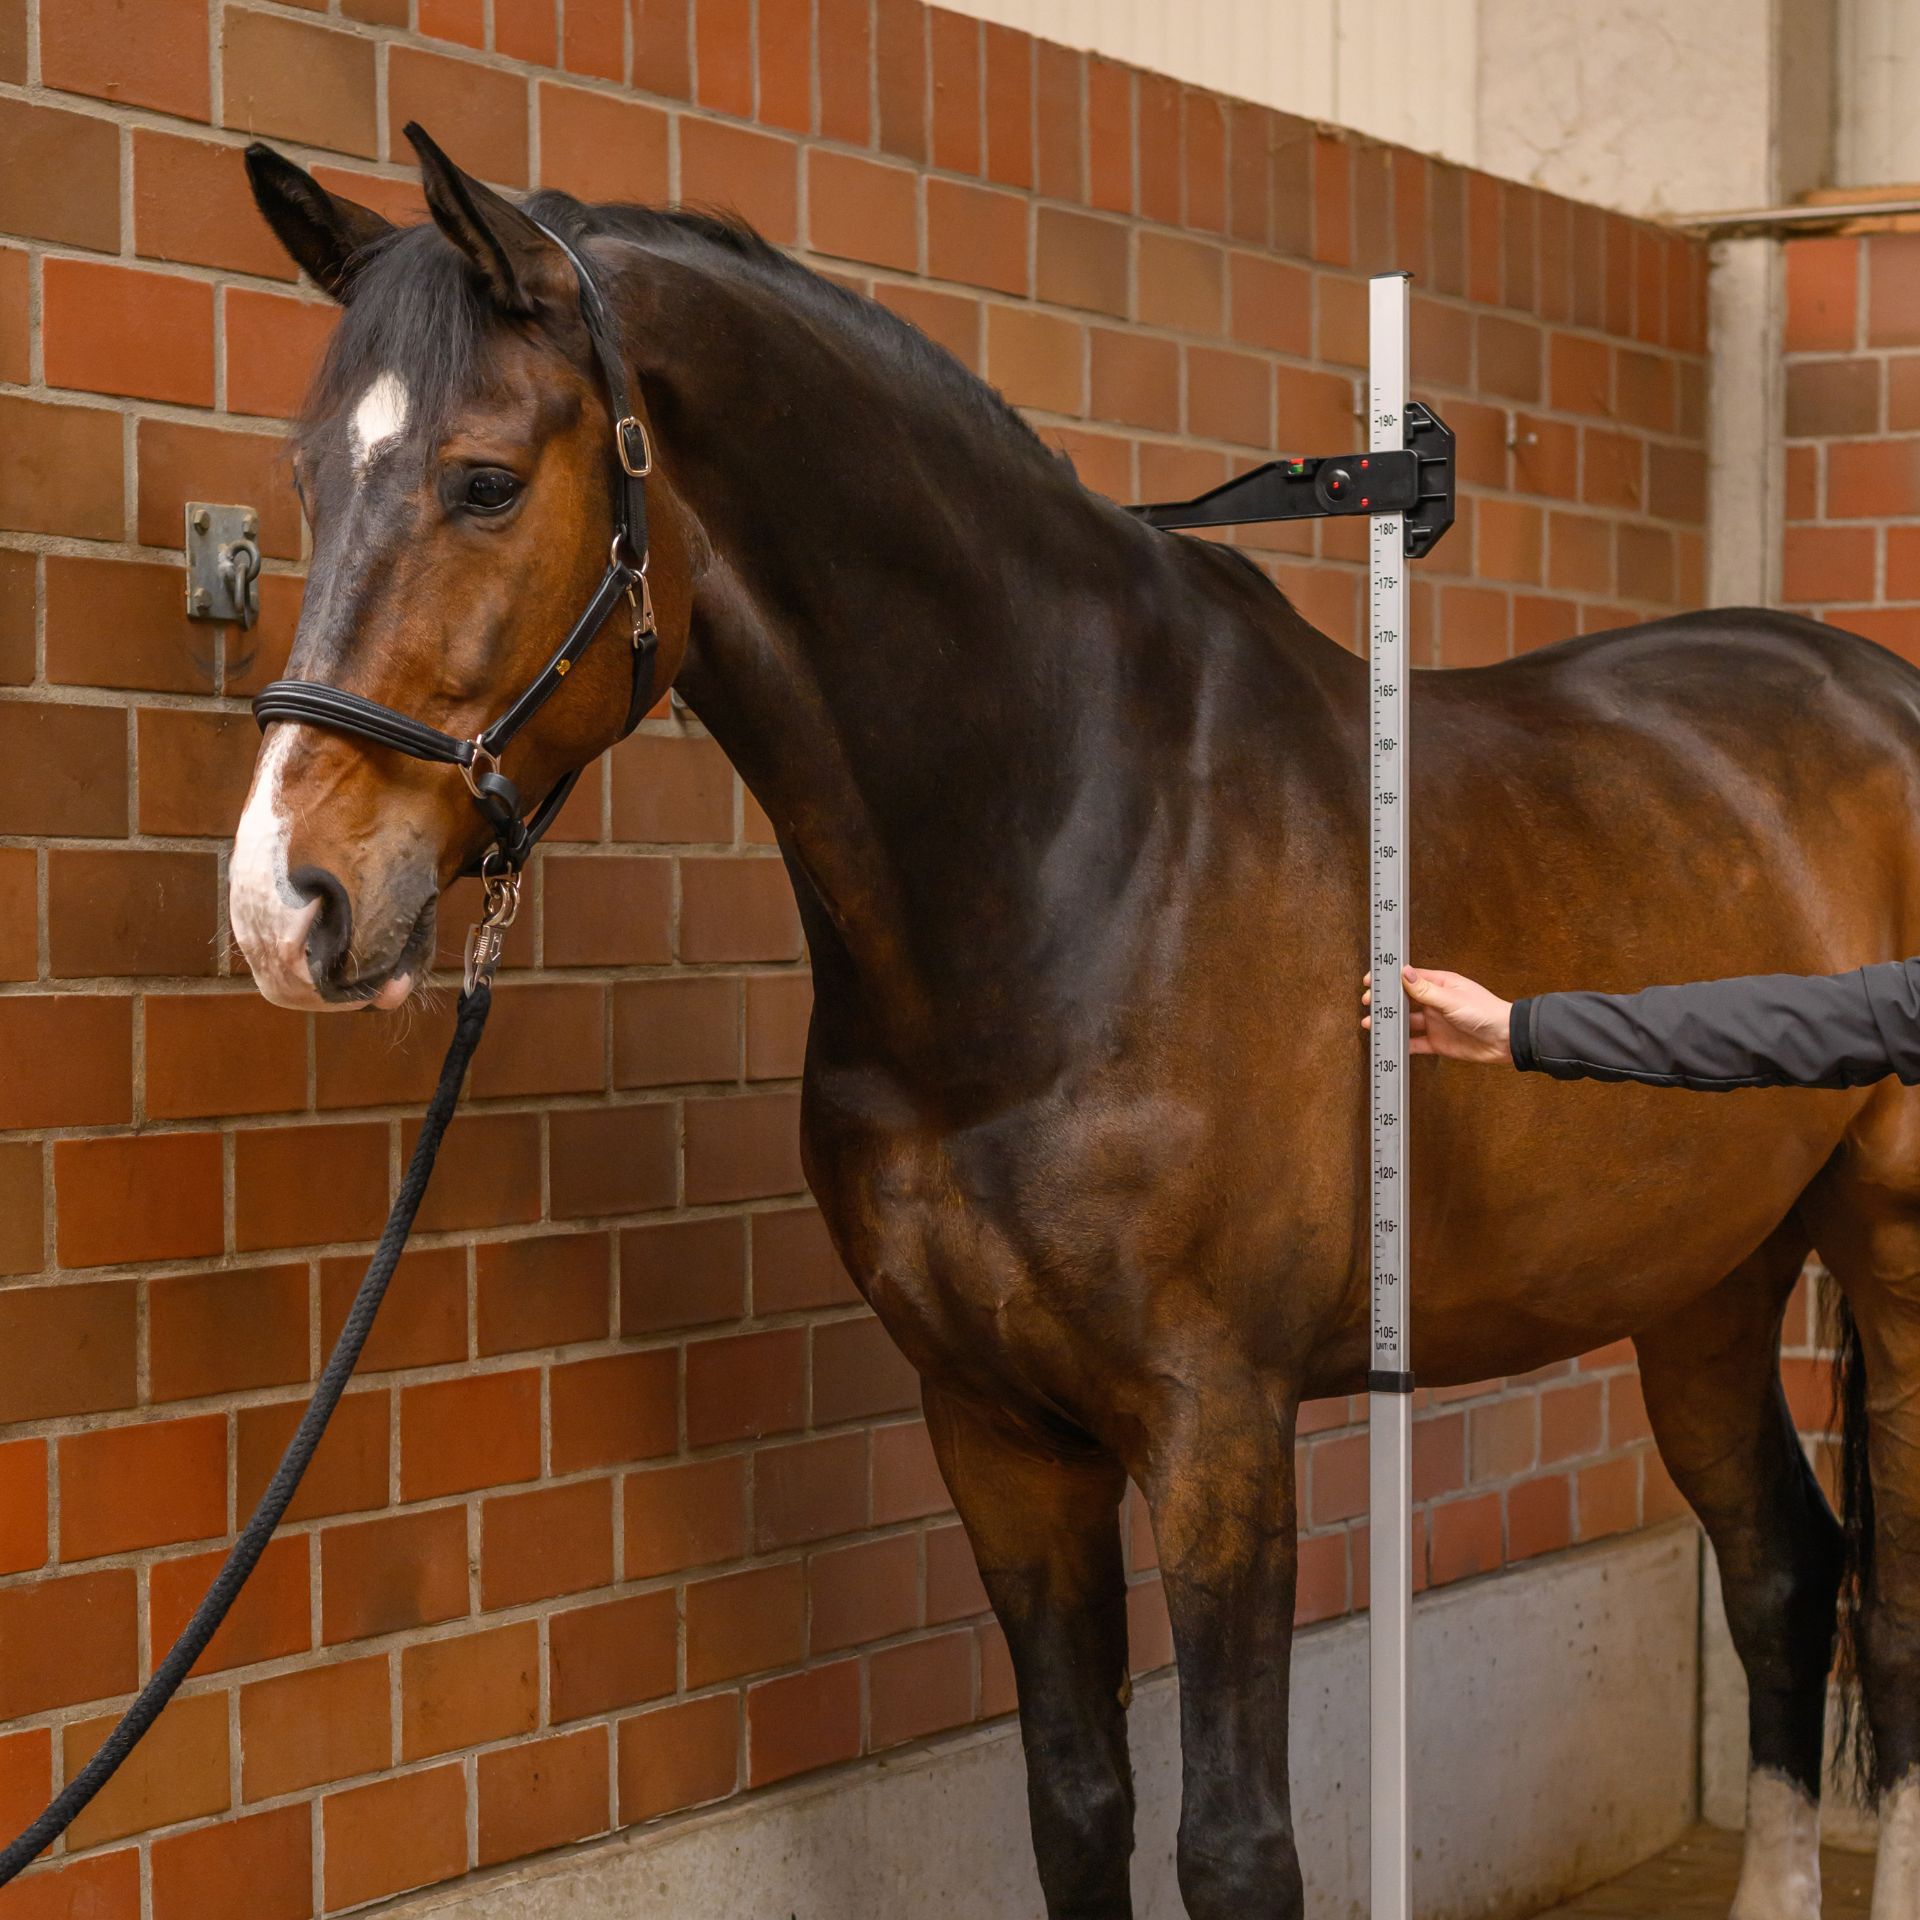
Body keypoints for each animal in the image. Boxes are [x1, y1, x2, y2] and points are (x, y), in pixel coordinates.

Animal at [230, 133, 1920, 1920]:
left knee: (1891, 1607)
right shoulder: (995, 1429)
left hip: (1885, 1253)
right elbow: (1075, 1800)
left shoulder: (1219, 1424)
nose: (286, 903)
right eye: (306, 481)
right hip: (1709, 1273)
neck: (1066, 855)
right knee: (1784, 1566)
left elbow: (1234, 1845)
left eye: (485, 480)